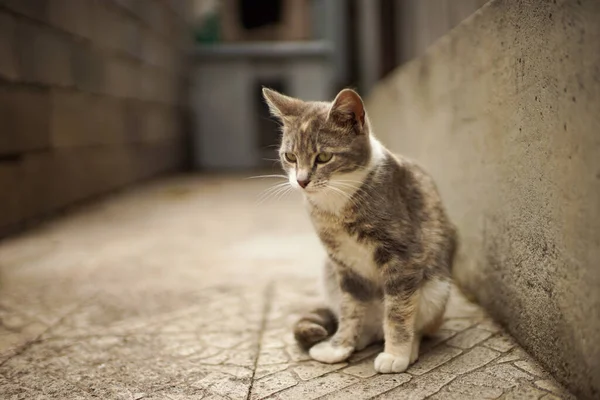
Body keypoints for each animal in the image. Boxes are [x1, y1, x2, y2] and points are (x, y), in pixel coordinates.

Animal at [260, 87, 458, 376]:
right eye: (290, 157)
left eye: (324, 157)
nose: (302, 181)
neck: (336, 203)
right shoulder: (343, 263)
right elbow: (350, 309)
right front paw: (339, 346)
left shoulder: (403, 255)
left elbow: (398, 310)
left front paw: (395, 354)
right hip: (329, 273)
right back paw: (360, 338)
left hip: (437, 289)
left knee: (418, 321)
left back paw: (408, 347)